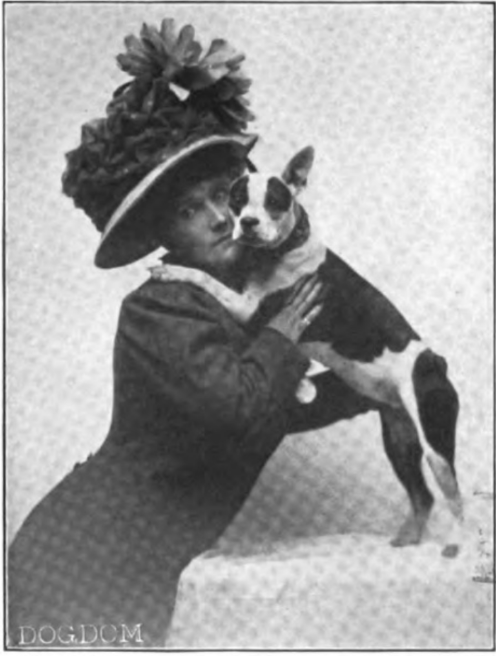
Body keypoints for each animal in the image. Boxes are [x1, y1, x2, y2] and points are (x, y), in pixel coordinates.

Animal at [151, 146, 463, 557]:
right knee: (422, 495)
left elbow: (206, 279)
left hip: (435, 443)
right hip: (399, 441)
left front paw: (173, 271)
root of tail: (435, 361)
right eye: (236, 200)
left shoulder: (250, 309)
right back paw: (407, 539)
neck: (281, 251)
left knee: (454, 496)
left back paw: (456, 546)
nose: (247, 222)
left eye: (274, 201)